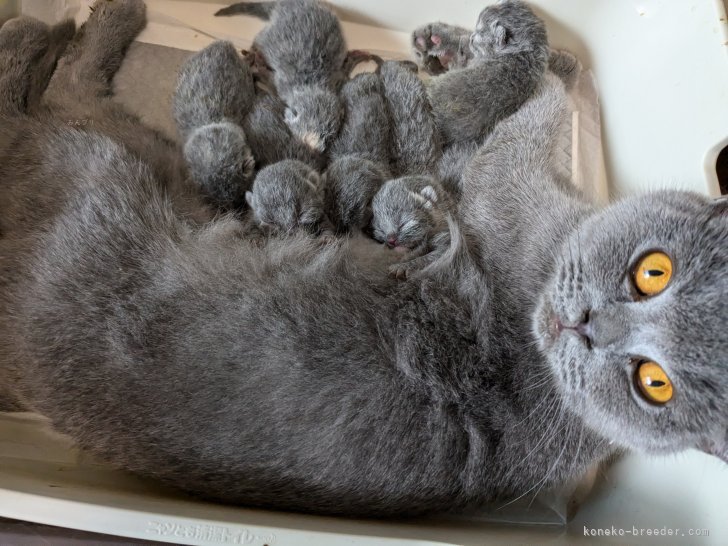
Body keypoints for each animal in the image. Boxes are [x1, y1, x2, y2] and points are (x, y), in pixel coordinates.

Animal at [215, 0, 346, 151]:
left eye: (327, 135)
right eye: (304, 131)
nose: (314, 147)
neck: (312, 82)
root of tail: (288, 4)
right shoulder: (282, 83)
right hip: (270, 33)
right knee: (260, 38)